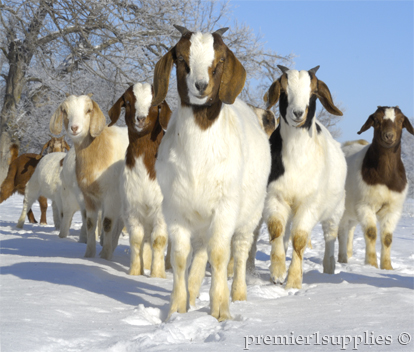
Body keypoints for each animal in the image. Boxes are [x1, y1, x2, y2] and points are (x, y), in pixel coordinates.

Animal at [49, 95, 128, 260]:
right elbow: (90, 222)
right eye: (64, 110)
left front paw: (105, 257)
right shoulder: (89, 196)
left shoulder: (112, 195)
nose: (74, 128)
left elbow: (107, 223)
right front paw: (89, 255)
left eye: (88, 110)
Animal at [108, 82, 171, 278]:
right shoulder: (132, 208)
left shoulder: (161, 210)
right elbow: (136, 239)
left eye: (155, 103)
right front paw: (135, 272)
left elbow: (159, 240)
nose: (141, 119)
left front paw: (157, 276)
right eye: (128, 102)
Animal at [152, 25, 272, 322]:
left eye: (220, 61)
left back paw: (238, 294)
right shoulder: (176, 209)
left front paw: (220, 310)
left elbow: (220, 254)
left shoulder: (225, 207)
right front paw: (176, 309)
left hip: (249, 216)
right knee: (199, 251)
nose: (200, 86)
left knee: (239, 250)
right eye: (181, 58)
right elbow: (180, 256)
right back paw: (194, 292)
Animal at [262, 65, 346, 288]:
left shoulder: (310, 203)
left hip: (335, 210)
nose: (298, 113)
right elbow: (276, 230)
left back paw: (328, 269)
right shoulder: (275, 196)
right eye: (284, 91)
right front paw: (277, 273)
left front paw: (293, 282)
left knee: (330, 235)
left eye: (313, 93)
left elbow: (299, 238)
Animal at [338, 106, 412, 268]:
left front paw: (387, 267)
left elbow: (387, 238)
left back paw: (348, 254)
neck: (385, 177)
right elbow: (371, 233)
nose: (389, 136)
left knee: (349, 228)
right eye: (376, 120)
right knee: (341, 230)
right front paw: (371, 264)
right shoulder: (365, 205)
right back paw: (342, 258)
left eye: (400, 120)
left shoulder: (393, 208)